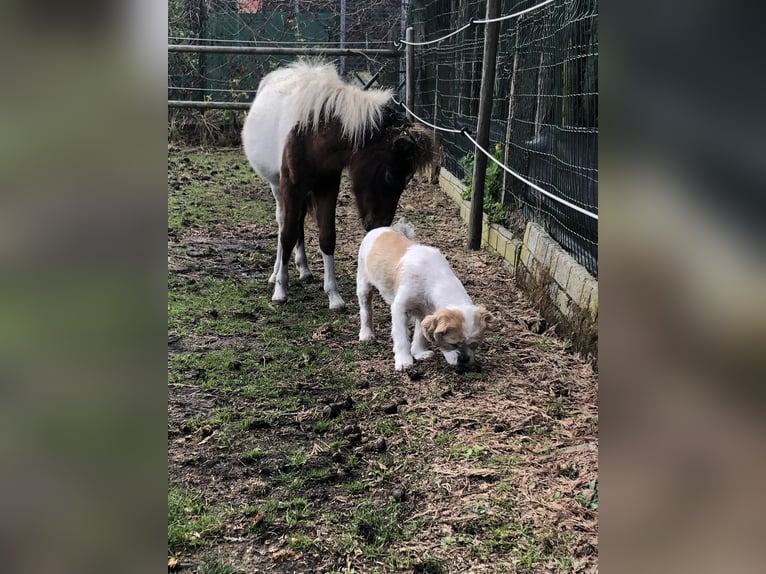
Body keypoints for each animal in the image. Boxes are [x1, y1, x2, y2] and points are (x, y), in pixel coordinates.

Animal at [243, 62, 436, 310]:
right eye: (390, 175)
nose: (378, 225)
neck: (312, 135)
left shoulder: (327, 187)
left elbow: (327, 237)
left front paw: (333, 296)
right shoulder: (291, 188)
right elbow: (286, 235)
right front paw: (280, 290)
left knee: (299, 221)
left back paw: (304, 269)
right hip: (278, 188)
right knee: (283, 223)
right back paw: (275, 275)